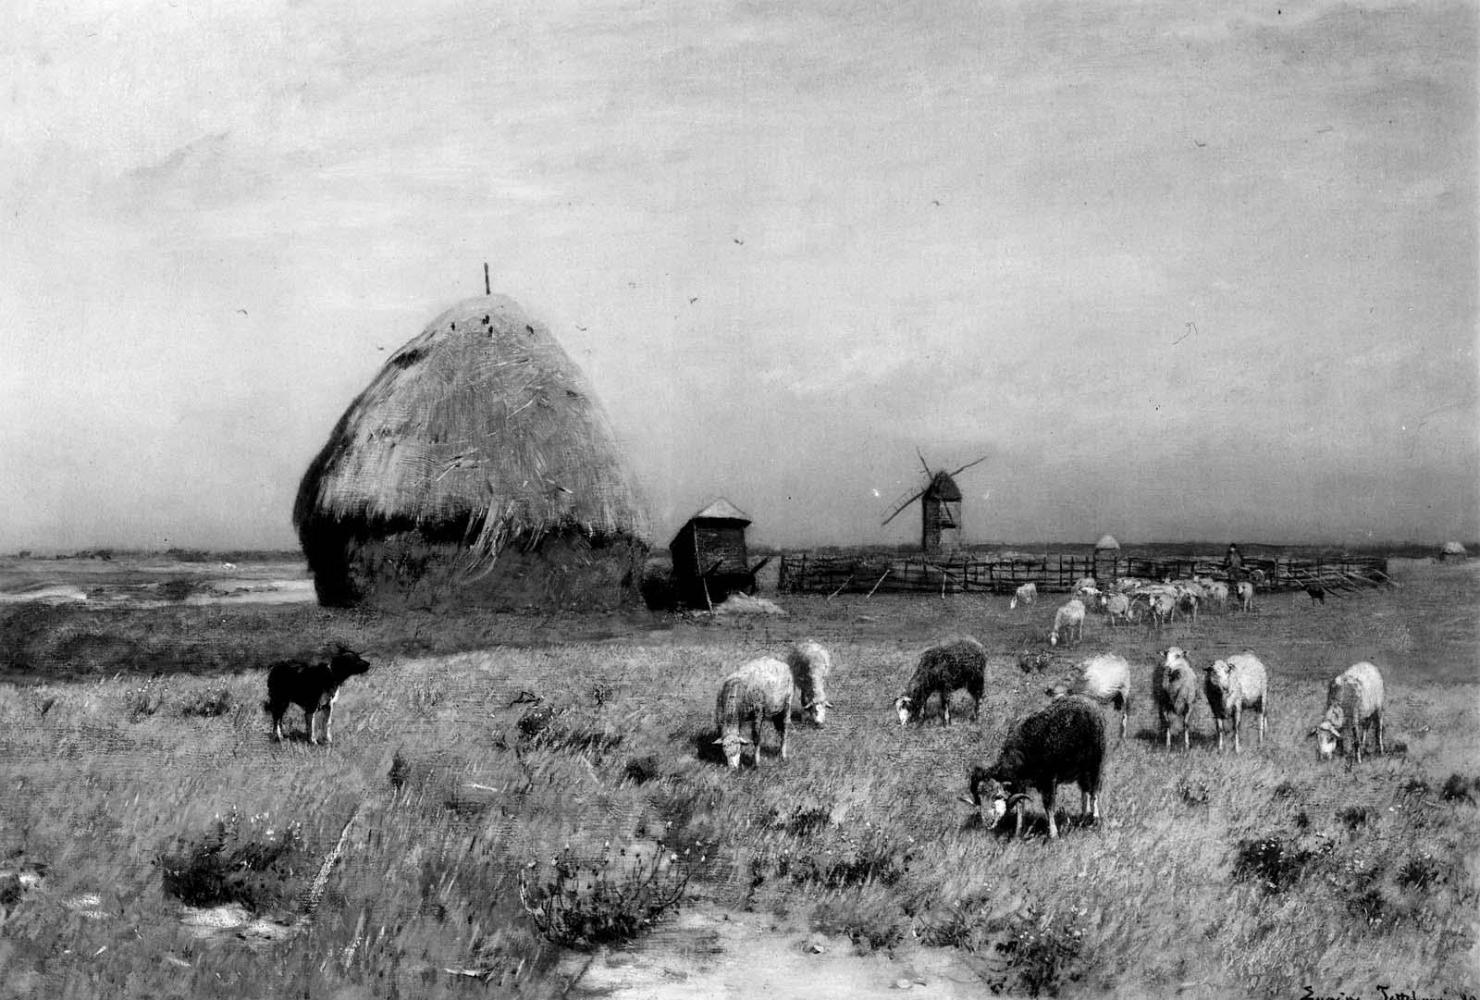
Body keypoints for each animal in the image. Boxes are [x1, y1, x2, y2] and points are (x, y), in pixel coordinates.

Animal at [964, 692, 1107, 840]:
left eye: (997, 796)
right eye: (980, 795)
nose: (987, 822)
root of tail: (1088, 701)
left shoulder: (1049, 781)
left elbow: (1049, 807)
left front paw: (1054, 834)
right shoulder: (1021, 784)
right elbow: (1020, 806)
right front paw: (1017, 833)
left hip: (1095, 763)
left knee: (1094, 789)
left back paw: (1095, 819)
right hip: (1081, 771)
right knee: (1085, 790)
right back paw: (1083, 817)